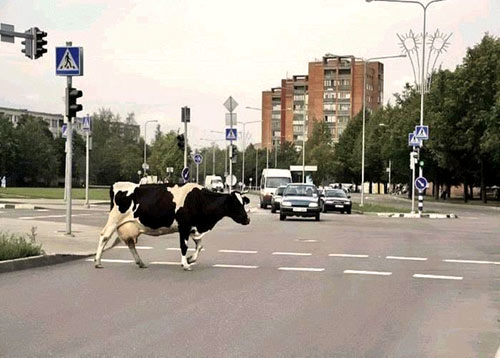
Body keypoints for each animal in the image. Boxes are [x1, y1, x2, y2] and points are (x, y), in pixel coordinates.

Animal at [94, 183, 250, 270]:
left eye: (243, 202)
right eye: (236, 204)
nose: (247, 219)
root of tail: (117, 184)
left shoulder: (193, 228)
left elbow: (199, 246)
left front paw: (190, 259)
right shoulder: (184, 226)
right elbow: (184, 246)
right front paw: (185, 264)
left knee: (130, 243)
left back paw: (140, 262)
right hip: (114, 220)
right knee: (104, 236)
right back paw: (97, 261)